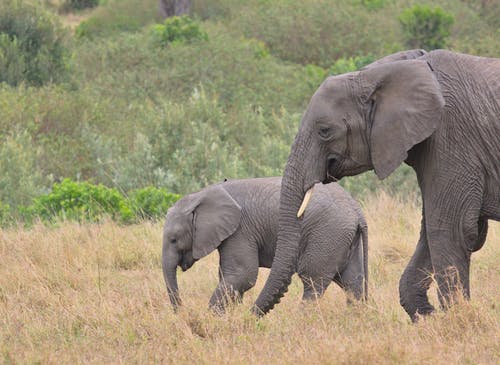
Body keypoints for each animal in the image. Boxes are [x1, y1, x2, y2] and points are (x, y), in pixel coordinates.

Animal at [161, 175, 368, 312]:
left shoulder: (240, 231)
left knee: (312, 281)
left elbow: (243, 275)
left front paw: (213, 319)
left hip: (327, 234)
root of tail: (357, 211)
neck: (200, 195)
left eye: (174, 239)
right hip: (344, 238)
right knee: (352, 282)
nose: (183, 312)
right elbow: (231, 278)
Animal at [256, 49, 498, 318]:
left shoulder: (450, 138)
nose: (252, 314)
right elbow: (433, 230)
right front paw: (429, 317)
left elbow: (452, 228)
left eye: (324, 131)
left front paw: (455, 319)